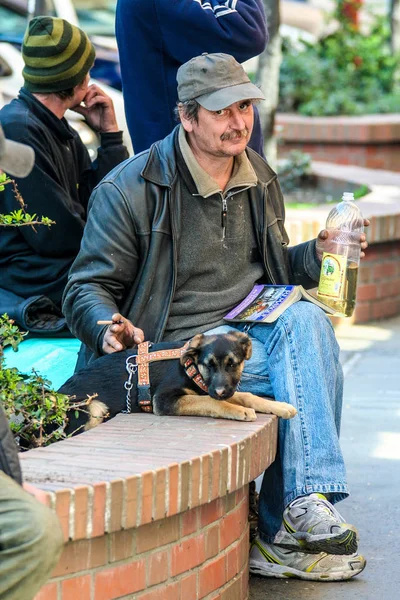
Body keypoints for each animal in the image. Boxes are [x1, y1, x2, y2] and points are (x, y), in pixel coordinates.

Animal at [60, 330, 296, 434]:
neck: (191, 368)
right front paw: (239, 411)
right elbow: (211, 402)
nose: (221, 391)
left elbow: (246, 395)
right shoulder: (164, 399)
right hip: (93, 407)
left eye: (232, 364)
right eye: (209, 365)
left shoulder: (212, 389)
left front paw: (281, 407)